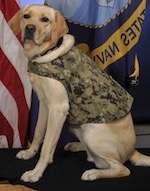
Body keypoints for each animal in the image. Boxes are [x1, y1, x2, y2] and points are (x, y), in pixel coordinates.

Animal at [8, 4, 150, 183]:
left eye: (45, 19)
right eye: (26, 16)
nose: (30, 28)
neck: (46, 52)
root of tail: (133, 151)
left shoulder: (58, 109)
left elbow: (47, 145)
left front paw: (36, 172)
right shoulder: (44, 105)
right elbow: (39, 133)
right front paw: (29, 153)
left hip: (91, 131)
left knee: (121, 168)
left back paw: (93, 173)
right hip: (78, 127)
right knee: (93, 157)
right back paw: (76, 146)